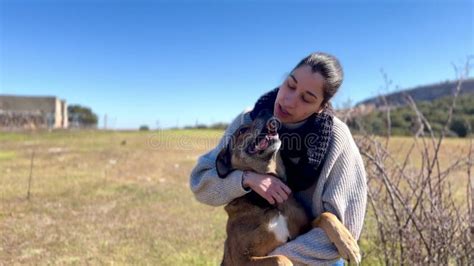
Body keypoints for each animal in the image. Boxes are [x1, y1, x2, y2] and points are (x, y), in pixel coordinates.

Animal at [217, 109, 362, 264]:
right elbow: (281, 259)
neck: (269, 204)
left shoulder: (303, 230)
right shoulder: (240, 258)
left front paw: (349, 245)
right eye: (242, 130)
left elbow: (326, 215)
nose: (265, 111)